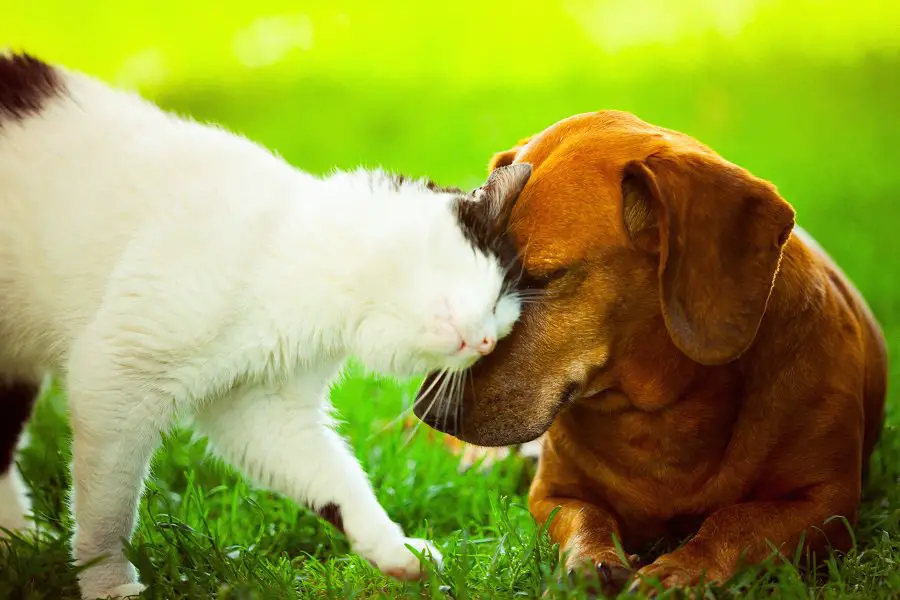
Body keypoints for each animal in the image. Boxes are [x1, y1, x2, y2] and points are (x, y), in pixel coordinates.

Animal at [0, 52, 532, 600]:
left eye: (503, 326)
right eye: (496, 298)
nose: (487, 342)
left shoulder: (260, 407)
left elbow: (335, 478)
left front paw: (397, 551)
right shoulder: (114, 379)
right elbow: (108, 512)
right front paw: (109, 583)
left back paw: (17, 540)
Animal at [418, 111, 888, 592]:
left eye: (540, 279)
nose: (426, 408)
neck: (659, 410)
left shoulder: (825, 504)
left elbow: (737, 522)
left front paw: (681, 571)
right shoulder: (553, 494)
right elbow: (586, 516)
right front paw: (589, 562)